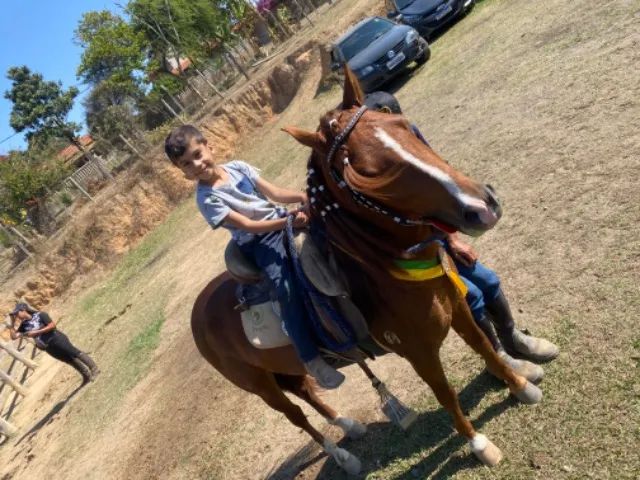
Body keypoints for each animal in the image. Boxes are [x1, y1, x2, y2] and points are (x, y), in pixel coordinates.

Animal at [190, 68, 543, 475]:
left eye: (402, 125)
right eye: (367, 172)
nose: (482, 206)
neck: (381, 271)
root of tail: (199, 311)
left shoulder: (458, 310)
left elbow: (485, 347)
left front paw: (521, 386)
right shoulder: (417, 351)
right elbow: (445, 392)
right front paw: (478, 443)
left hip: (285, 368)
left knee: (307, 392)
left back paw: (350, 427)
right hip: (259, 384)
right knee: (296, 415)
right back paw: (343, 456)